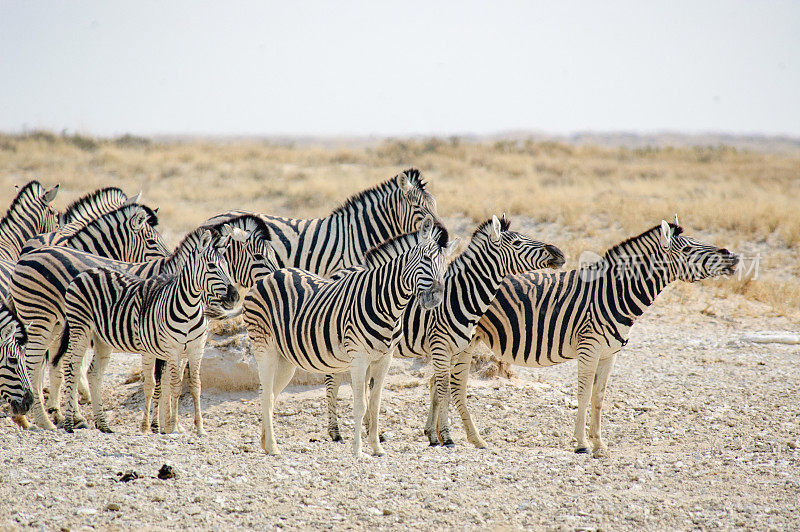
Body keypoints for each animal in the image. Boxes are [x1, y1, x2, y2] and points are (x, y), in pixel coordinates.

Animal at [58, 228, 239, 432]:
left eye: (227, 265)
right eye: (211, 266)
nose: (234, 296)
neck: (190, 309)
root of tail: (88, 271)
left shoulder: (194, 351)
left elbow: (194, 386)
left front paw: (196, 428)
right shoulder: (170, 350)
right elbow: (170, 386)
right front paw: (166, 427)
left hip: (102, 338)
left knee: (94, 373)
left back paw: (103, 425)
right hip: (80, 327)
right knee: (71, 367)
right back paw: (70, 422)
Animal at [244, 216, 456, 458]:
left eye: (446, 266)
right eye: (426, 259)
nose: (435, 299)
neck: (387, 302)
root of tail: (270, 276)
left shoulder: (384, 359)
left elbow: (375, 404)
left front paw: (377, 447)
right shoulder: (359, 358)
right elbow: (360, 405)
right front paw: (358, 450)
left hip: (286, 359)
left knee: (267, 392)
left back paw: (265, 443)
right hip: (265, 347)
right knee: (266, 394)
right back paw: (273, 447)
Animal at [322, 214, 564, 446]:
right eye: (516, 242)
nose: (559, 253)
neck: (460, 295)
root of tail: (338, 272)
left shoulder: (455, 349)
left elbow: (439, 389)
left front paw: (432, 435)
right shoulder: (440, 347)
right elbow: (445, 389)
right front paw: (446, 437)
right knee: (333, 381)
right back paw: (335, 432)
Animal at [438, 216, 736, 458]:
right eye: (687, 249)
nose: (732, 257)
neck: (614, 293)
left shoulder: (609, 354)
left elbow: (598, 398)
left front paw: (599, 445)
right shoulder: (589, 348)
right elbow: (582, 394)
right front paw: (581, 444)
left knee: (438, 382)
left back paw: (437, 435)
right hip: (463, 341)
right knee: (454, 384)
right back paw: (469, 438)